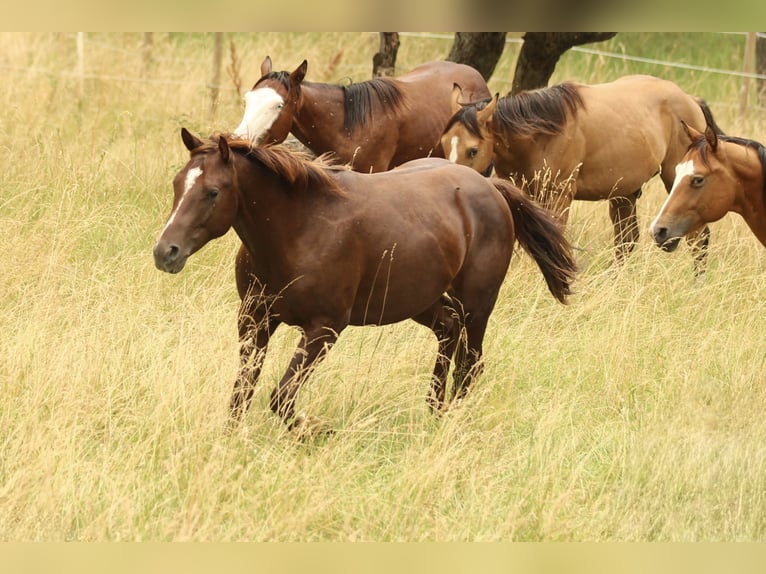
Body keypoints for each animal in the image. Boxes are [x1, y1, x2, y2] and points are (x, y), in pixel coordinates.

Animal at [153, 128, 577, 434]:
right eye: (176, 184)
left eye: (212, 192)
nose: (165, 252)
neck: (299, 229)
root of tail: (491, 189)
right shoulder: (254, 321)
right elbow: (242, 392)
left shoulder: (324, 329)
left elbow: (280, 396)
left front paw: (315, 430)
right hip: (422, 301)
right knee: (448, 333)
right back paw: (433, 409)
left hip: (477, 304)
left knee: (470, 364)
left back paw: (452, 418)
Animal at [439, 75, 724, 274]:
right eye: (443, 143)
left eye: (473, 150)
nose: (455, 183)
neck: (541, 133)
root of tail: (690, 100)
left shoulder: (559, 196)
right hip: (623, 194)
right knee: (626, 241)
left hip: (677, 184)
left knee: (698, 239)